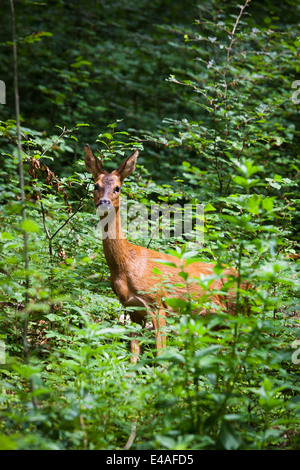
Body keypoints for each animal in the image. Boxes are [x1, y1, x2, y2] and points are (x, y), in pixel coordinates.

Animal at [84, 144, 244, 364]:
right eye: (95, 185)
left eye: (118, 188)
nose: (104, 202)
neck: (126, 265)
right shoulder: (131, 309)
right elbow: (133, 356)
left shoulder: (158, 302)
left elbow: (162, 355)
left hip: (237, 310)